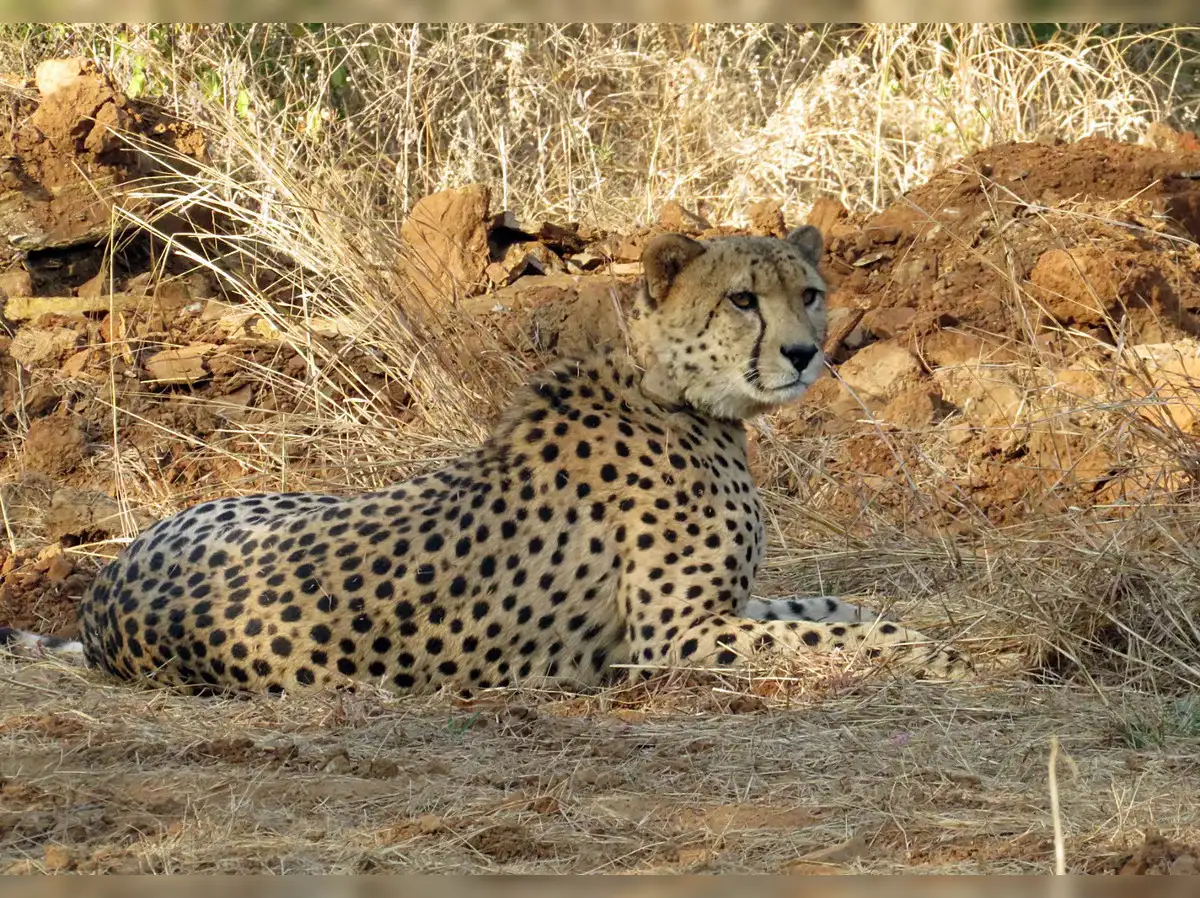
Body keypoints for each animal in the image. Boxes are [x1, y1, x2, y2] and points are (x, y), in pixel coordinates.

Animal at [1, 225, 972, 696]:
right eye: (743, 300)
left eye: (809, 293)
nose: (807, 354)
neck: (676, 392)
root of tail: (102, 595)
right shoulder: (672, 635)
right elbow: (830, 632)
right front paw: (933, 657)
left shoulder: (723, 606)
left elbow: (835, 605)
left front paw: (925, 631)